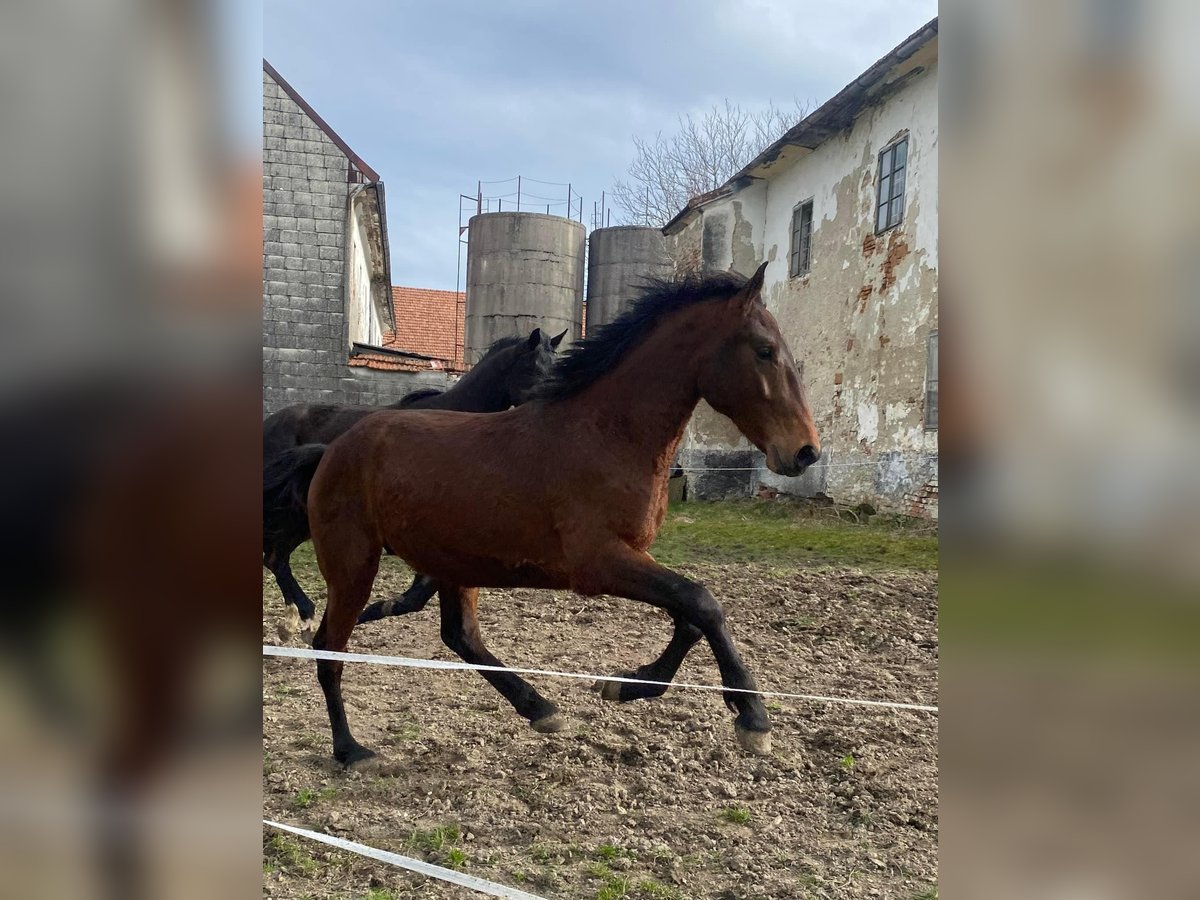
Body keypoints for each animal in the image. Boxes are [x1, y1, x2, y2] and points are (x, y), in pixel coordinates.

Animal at [262, 328, 561, 638]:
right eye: (533, 367)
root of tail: (268, 425)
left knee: (275, 556)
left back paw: (295, 621)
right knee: (274, 557)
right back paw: (303, 618)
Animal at [297, 264, 816, 763]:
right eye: (765, 351)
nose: (805, 452)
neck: (606, 435)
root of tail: (336, 446)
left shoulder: (632, 556)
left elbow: (689, 616)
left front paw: (626, 685)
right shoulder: (597, 563)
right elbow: (703, 602)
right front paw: (753, 718)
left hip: (450, 563)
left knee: (460, 636)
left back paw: (540, 708)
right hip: (354, 565)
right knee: (329, 646)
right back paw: (350, 750)